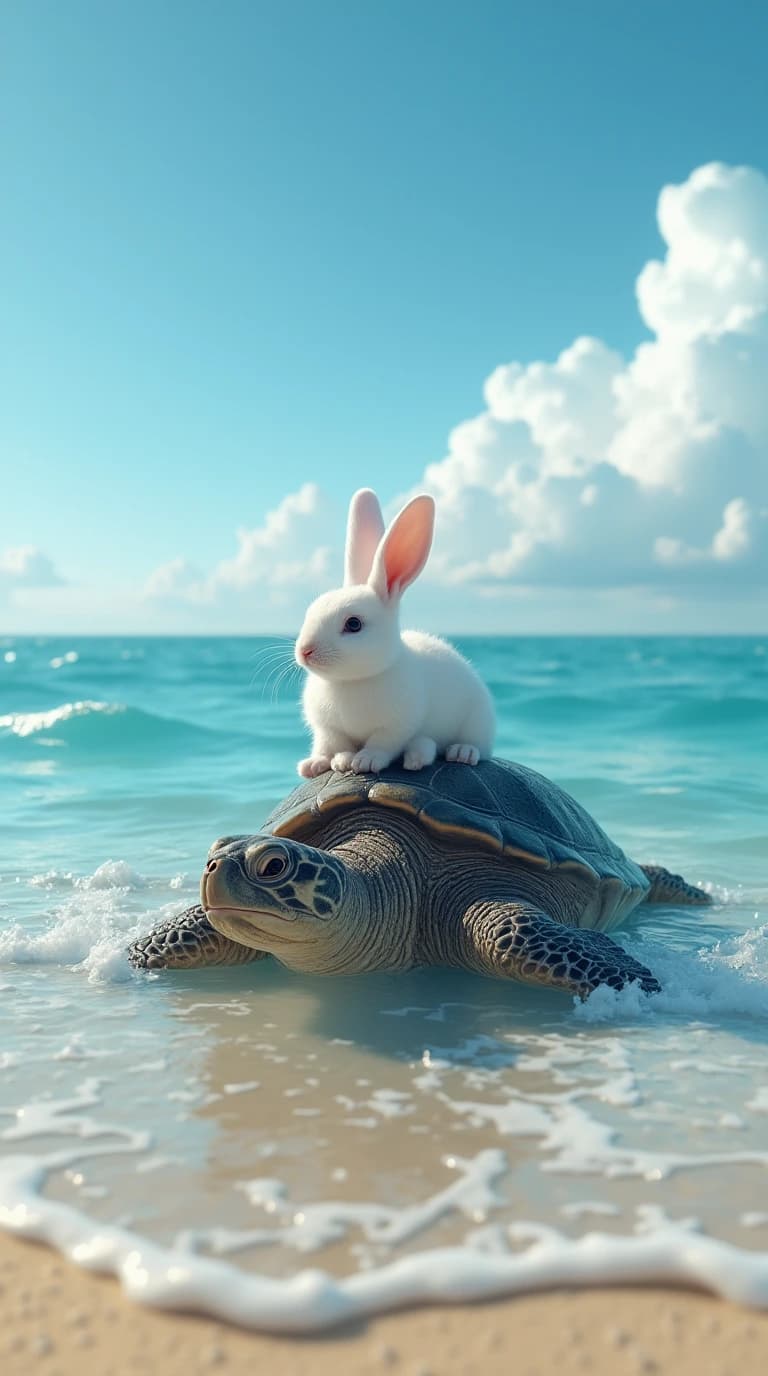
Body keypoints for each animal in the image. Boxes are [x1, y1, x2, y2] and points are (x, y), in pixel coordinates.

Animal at [294, 487, 496, 777]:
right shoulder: (327, 729)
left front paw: (365, 761)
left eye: (353, 624)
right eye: (310, 611)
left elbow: (383, 743)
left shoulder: (397, 725)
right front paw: (319, 763)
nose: (304, 651)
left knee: (477, 747)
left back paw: (457, 753)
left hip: (477, 719)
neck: (350, 683)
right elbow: (329, 745)